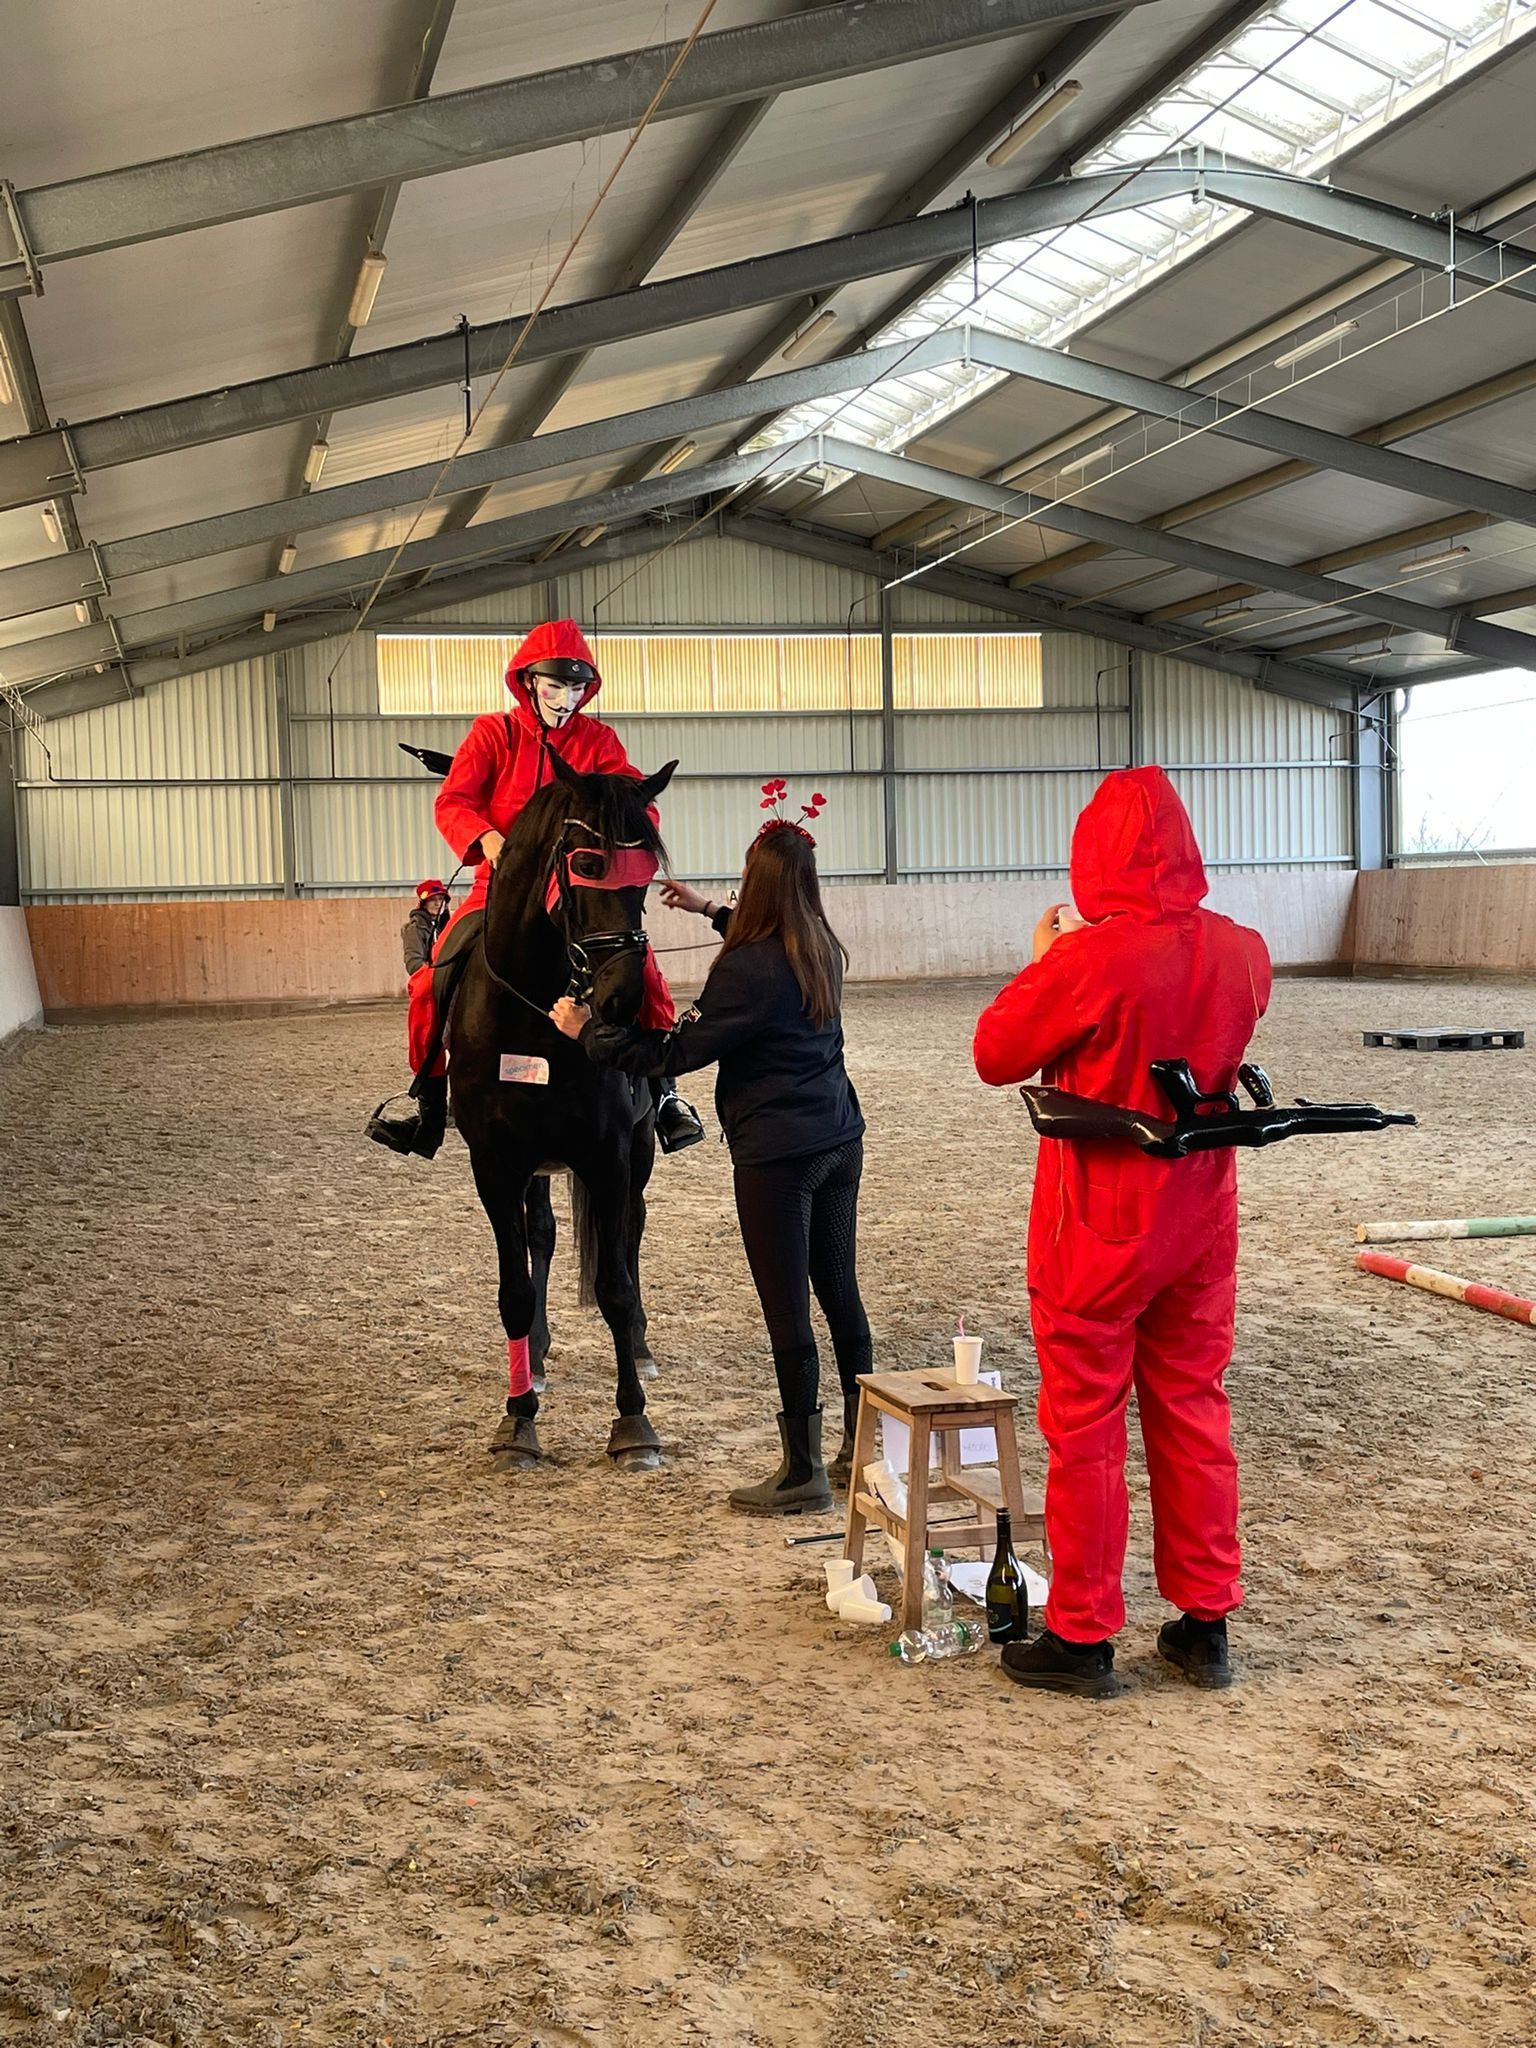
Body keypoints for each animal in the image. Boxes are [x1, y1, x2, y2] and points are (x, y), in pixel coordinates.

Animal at [445, 751, 678, 1474]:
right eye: (588, 863)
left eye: (648, 873)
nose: (621, 1000)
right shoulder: (496, 1164)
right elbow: (514, 1289)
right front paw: (517, 1419)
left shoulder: (607, 1155)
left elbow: (615, 1284)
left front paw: (633, 1424)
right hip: (538, 1168)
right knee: (542, 1236)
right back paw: (540, 1354)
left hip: (637, 1154)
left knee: (630, 1234)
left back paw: (640, 1347)